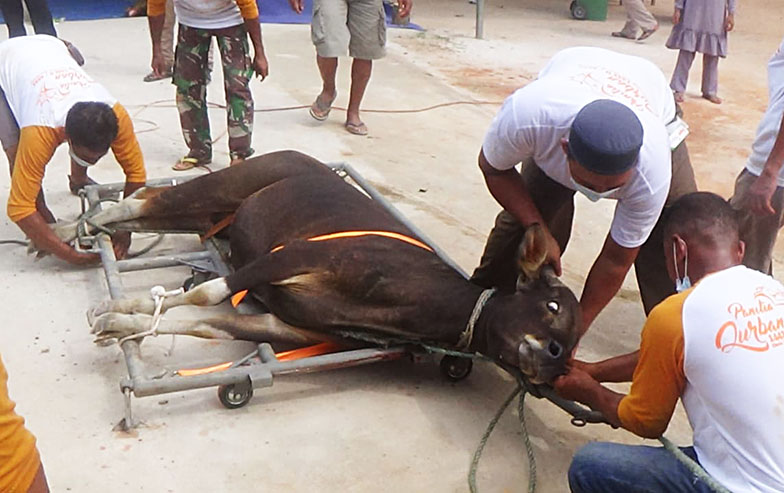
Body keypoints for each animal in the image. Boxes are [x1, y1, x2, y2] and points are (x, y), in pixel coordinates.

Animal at [61, 150, 580, 384]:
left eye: (574, 343)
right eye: (552, 305)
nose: (554, 360)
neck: (409, 297)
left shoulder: (295, 328)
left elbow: (209, 324)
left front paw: (121, 323)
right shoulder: (293, 257)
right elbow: (207, 294)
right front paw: (115, 310)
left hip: (211, 214)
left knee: (150, 207)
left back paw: (84, 225)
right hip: (228, 185)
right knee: (149, 198)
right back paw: (83, 221)